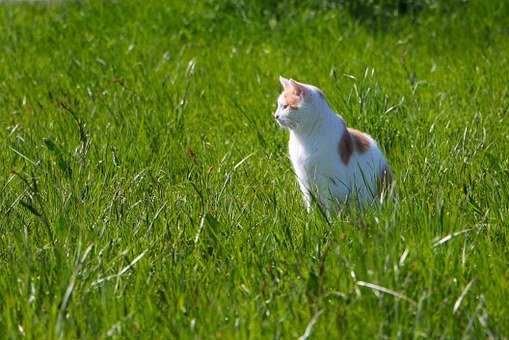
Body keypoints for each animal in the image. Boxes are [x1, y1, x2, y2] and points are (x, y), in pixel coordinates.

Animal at [274, 76, 388, 212]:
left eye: (285, 106)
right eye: (278, 106)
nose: (275, 116)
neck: (304, 136)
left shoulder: (329, 182)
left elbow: (330, 205)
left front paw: (329, 218)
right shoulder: (304, 179)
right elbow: (310, 202)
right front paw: (312, 216)